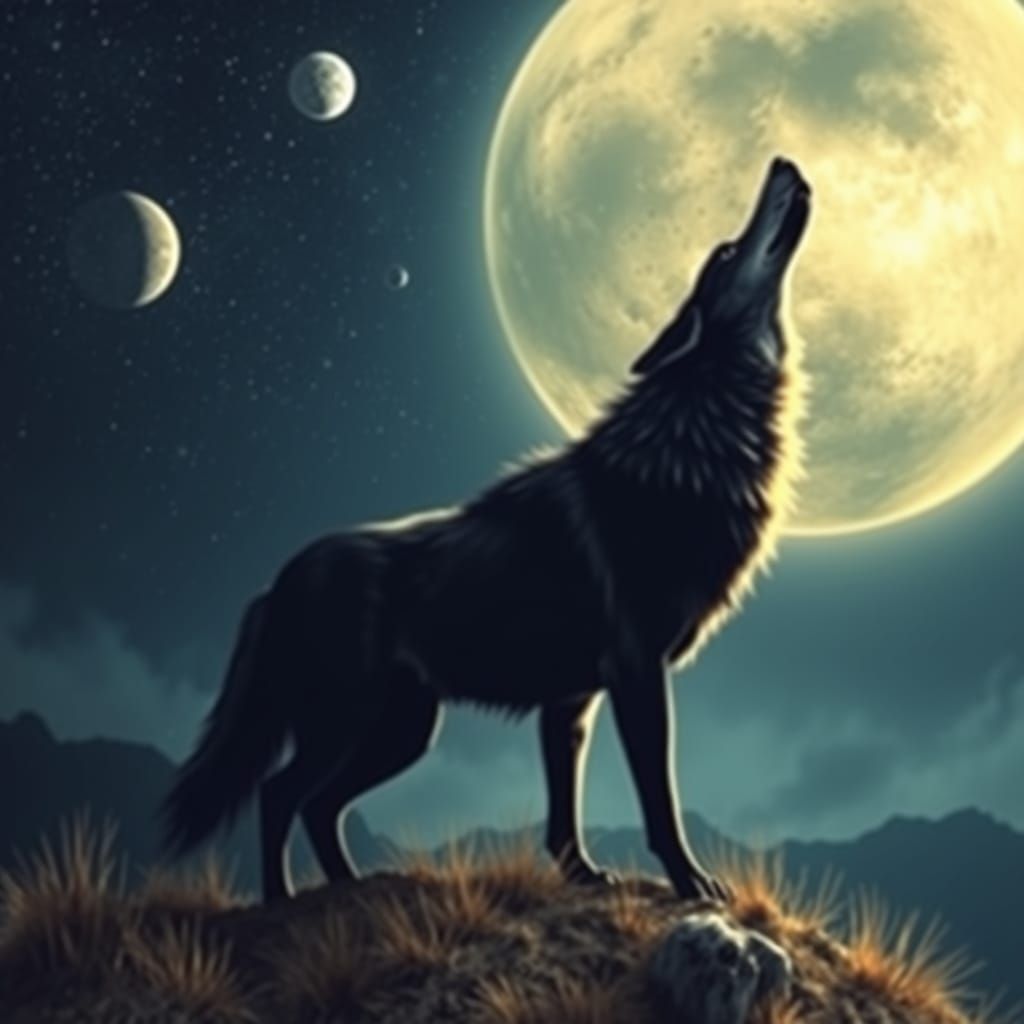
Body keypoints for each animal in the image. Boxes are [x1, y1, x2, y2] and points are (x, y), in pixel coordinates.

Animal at [163, 157, 812, 903]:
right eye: (727, 252)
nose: (783, 163)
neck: (694, 448)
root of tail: (272, 584)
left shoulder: (572, 699)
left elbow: (563, 815)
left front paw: (583, 875)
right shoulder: (637, 672)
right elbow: (659, 798)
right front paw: (689, 881)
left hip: (401, 731)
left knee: (319, 805)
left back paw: (356, 887)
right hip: (352, 722)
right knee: (278, 794)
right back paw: (281, 901)